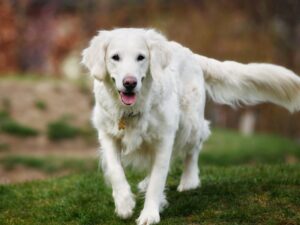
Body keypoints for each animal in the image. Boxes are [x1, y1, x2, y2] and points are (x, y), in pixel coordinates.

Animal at [82, 28, 300, 225]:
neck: (131, 110)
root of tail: (191, 54)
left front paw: (150, 214)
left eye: (141, 57)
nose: (130, 83)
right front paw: (124, 204)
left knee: (194, 149)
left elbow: (158, 179)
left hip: (190, 123)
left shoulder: (164, 137)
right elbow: (116, 171)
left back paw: (189, 180)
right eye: (115, 57)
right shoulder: (107, 134)